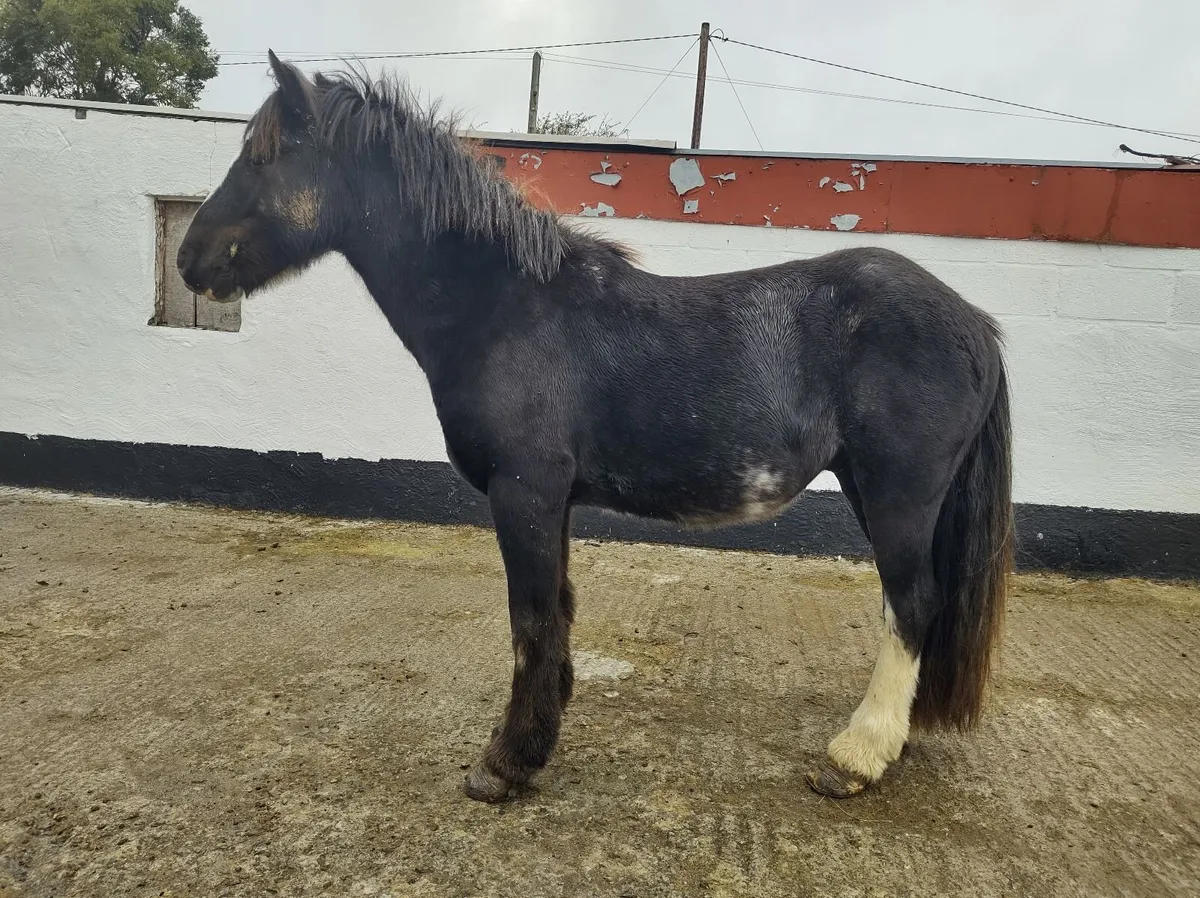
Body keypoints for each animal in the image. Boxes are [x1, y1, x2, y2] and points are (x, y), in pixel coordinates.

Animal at [176, 51, 1014, 803]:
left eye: (264, 156)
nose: (189, 260)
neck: (506, 309)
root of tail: (973, 321)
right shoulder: (553, 500)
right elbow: (558, 612)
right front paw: (534, 738)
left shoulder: (524, 491)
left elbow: (531, 618)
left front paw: (505, 765)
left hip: (897, 496)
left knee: (912, 604)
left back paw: (858, 756)